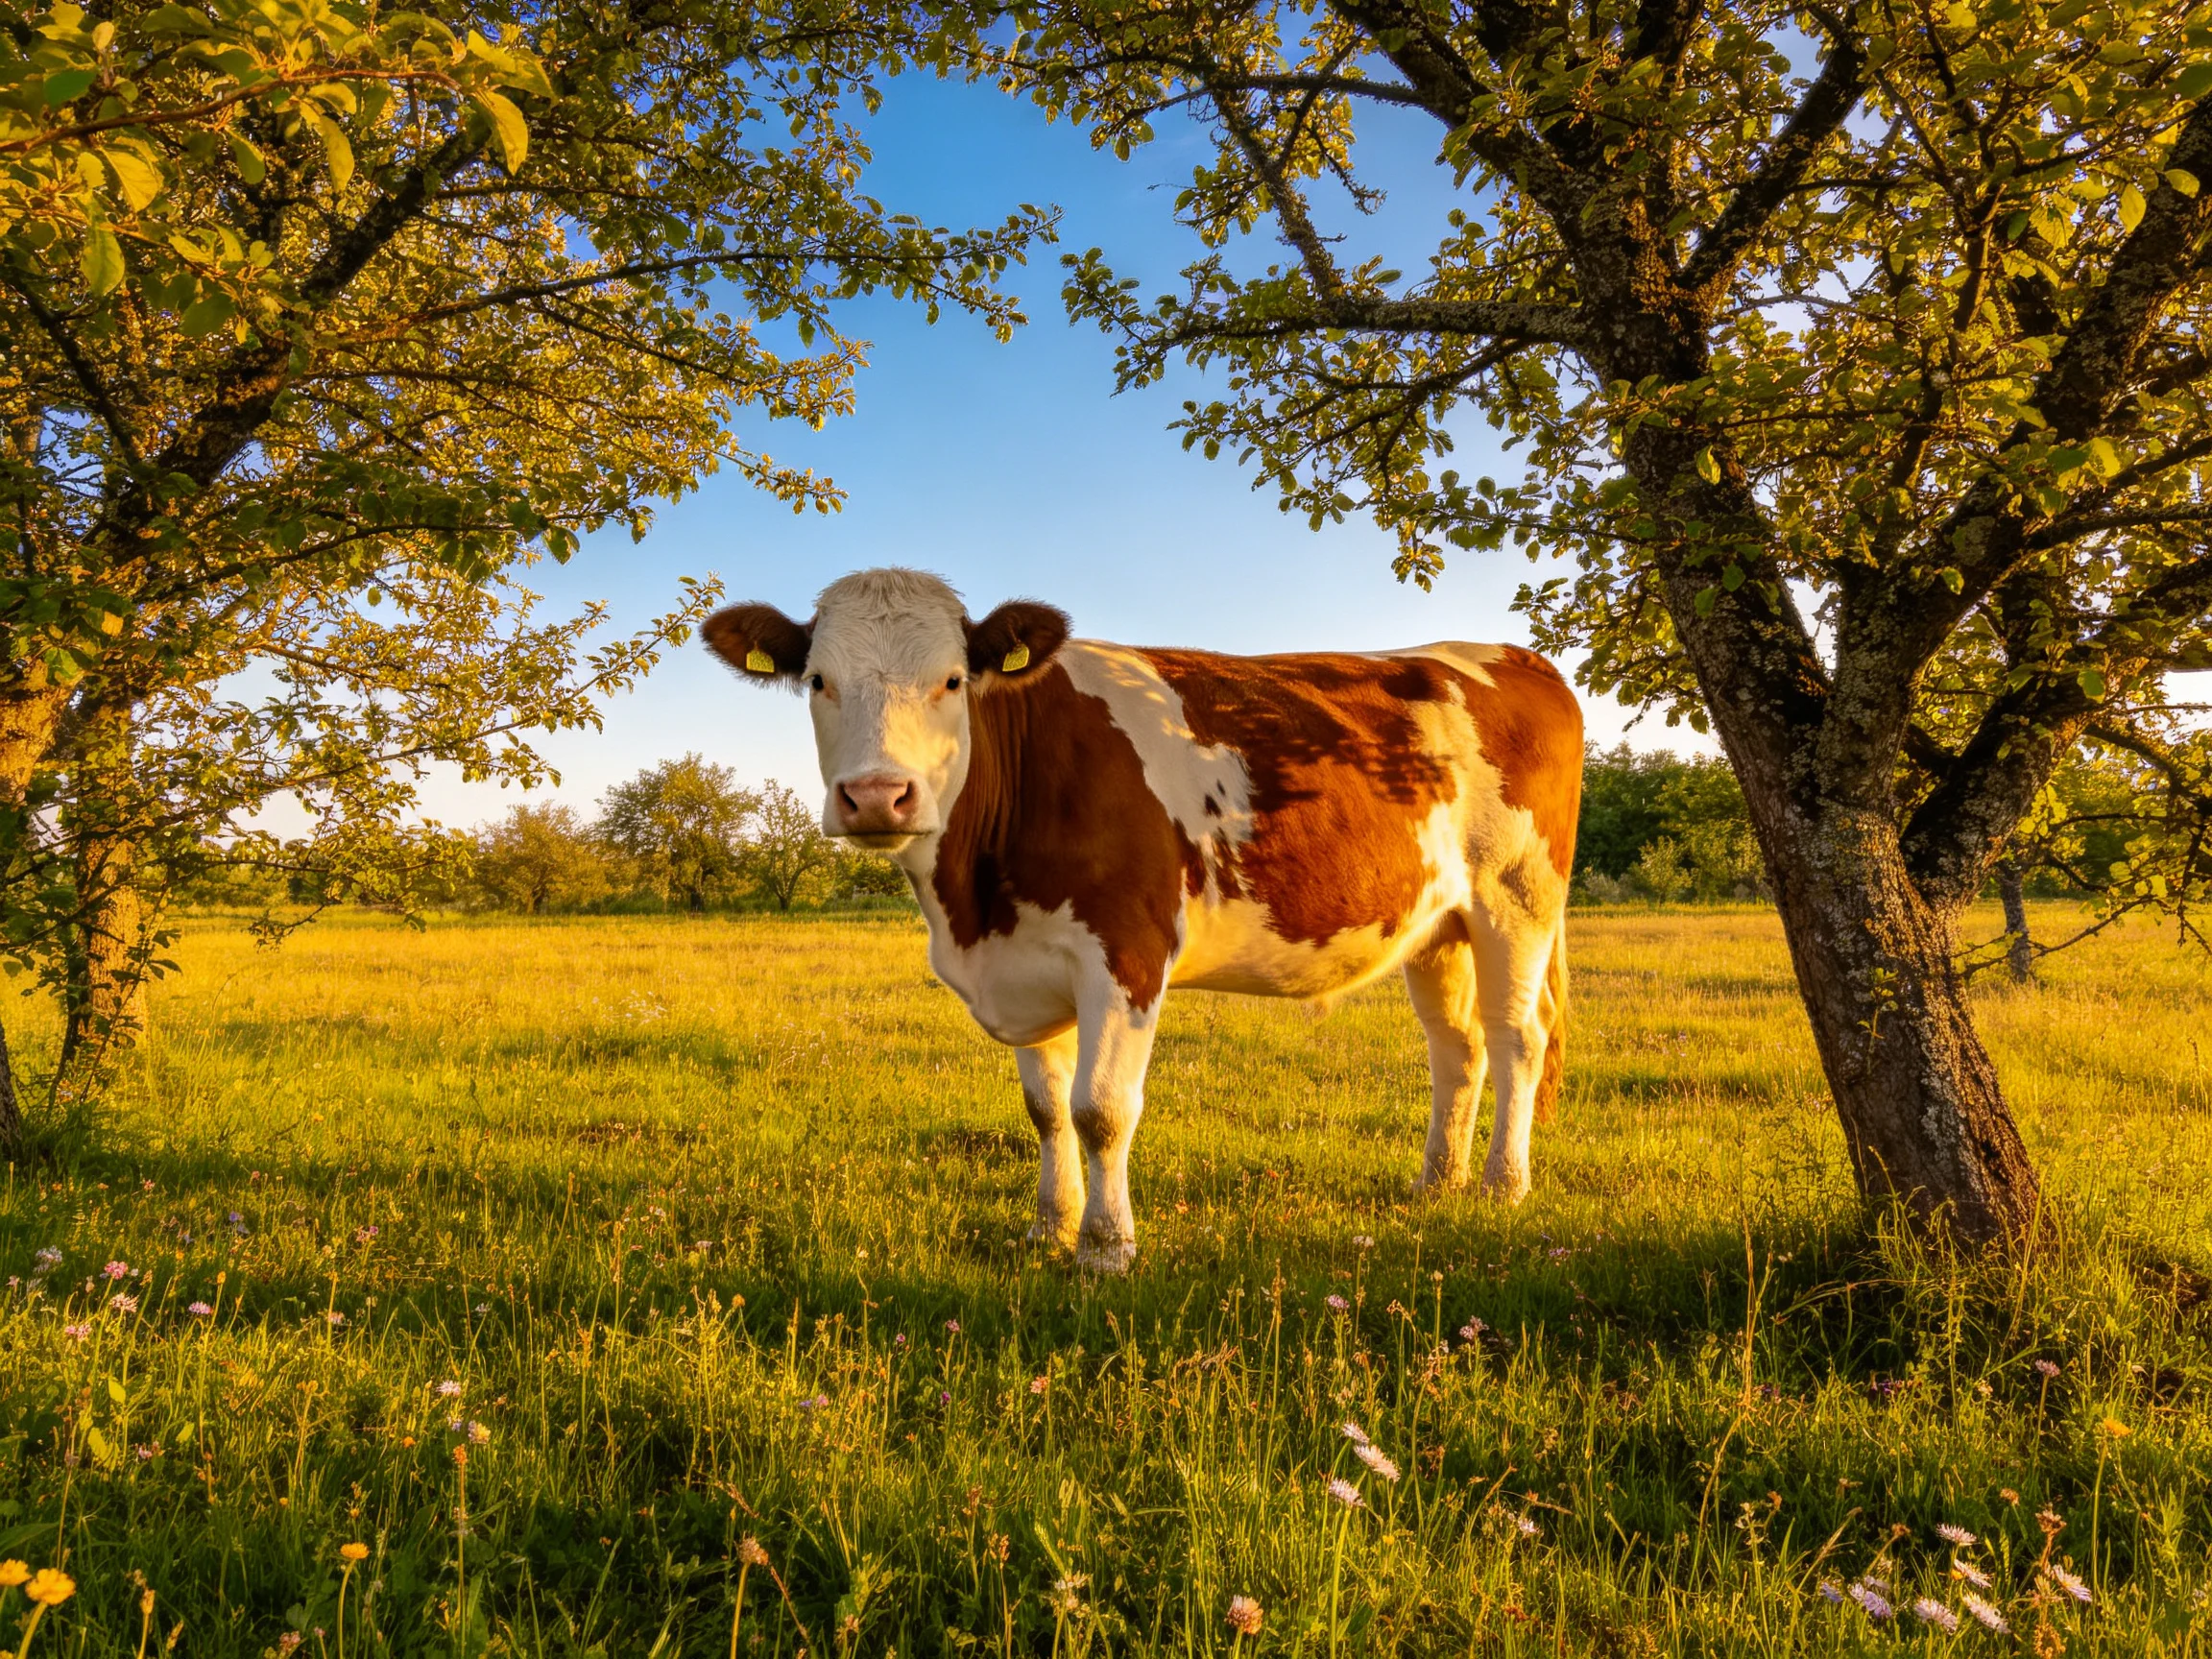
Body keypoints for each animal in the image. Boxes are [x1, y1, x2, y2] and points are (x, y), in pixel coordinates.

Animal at [705, 568, 1581, 1272]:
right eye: (819, 680)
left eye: (952, 681)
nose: (878, 796)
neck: (971, 905)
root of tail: (1511, 655)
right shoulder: (1028, 962)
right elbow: (1046, 1109)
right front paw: (1049, 1228)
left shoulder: (1124, 951)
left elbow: (1099, 1109)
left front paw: (1104, 1248)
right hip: (1439, 926)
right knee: (1456, 1046)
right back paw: (1437, 1183)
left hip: (1517, 899)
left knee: (1516, 1037)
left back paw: (1503, 1186)